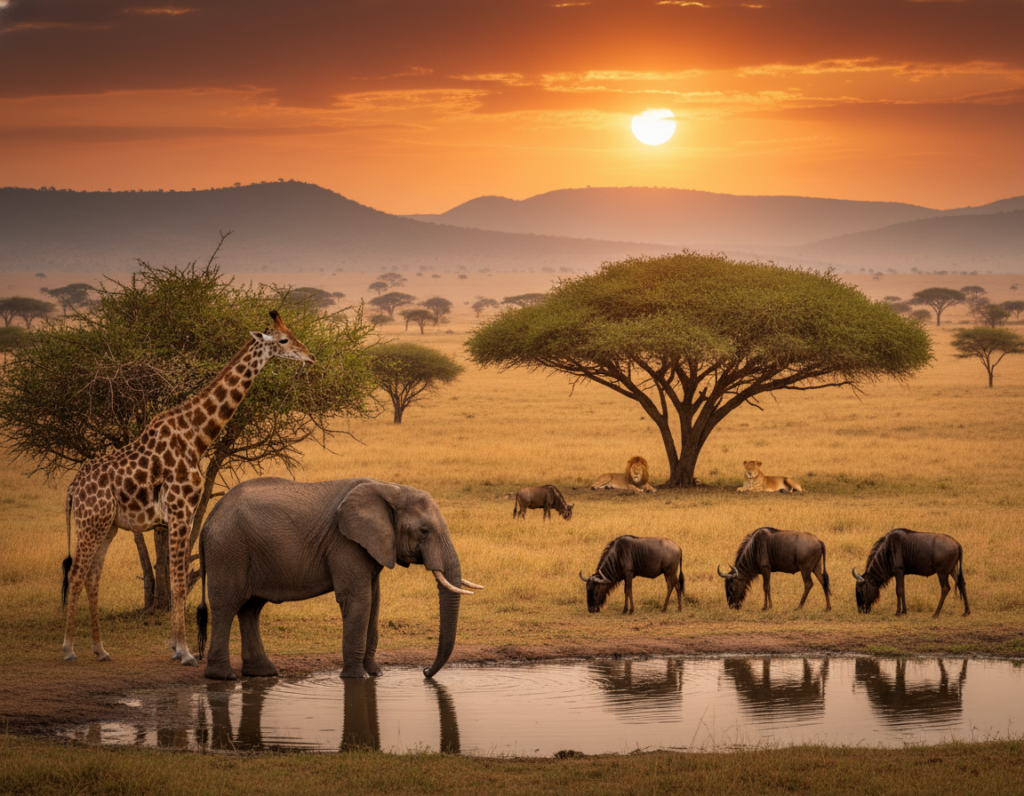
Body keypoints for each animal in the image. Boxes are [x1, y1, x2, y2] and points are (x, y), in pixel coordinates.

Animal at [61, 310, 315, 665]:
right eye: (284, 339)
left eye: (291, 333)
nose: (311, 356)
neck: (197, 436)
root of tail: (72, 488)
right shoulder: (180, 510)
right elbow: (179, 582)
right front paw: (184, 651)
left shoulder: (184, 513)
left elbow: (178, 577)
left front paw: (174, 644)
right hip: (89, 523)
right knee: (76, 574)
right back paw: (69, 648)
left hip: (106, 525)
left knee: (92, 576)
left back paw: (100, 649)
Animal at [195, 477, 482, 680]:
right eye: (423, 531)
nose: (424, 672)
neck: (389, 488)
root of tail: (209, 517)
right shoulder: (345, 542)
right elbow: (358, 600)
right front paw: (356, 677)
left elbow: (374, 603)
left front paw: (376, 673)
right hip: (228, 549)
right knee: (226, 606)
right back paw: (223, 677)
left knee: (251, 608)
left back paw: (263, 673)